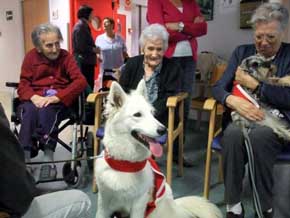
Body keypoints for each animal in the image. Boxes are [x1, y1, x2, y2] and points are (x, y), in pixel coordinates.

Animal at [95, 80, 222, 218]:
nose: (163, 130)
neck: (125, 164)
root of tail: (175, 206)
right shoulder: (103, 205)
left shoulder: (139, 206)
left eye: (152, 113)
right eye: (137, 115)